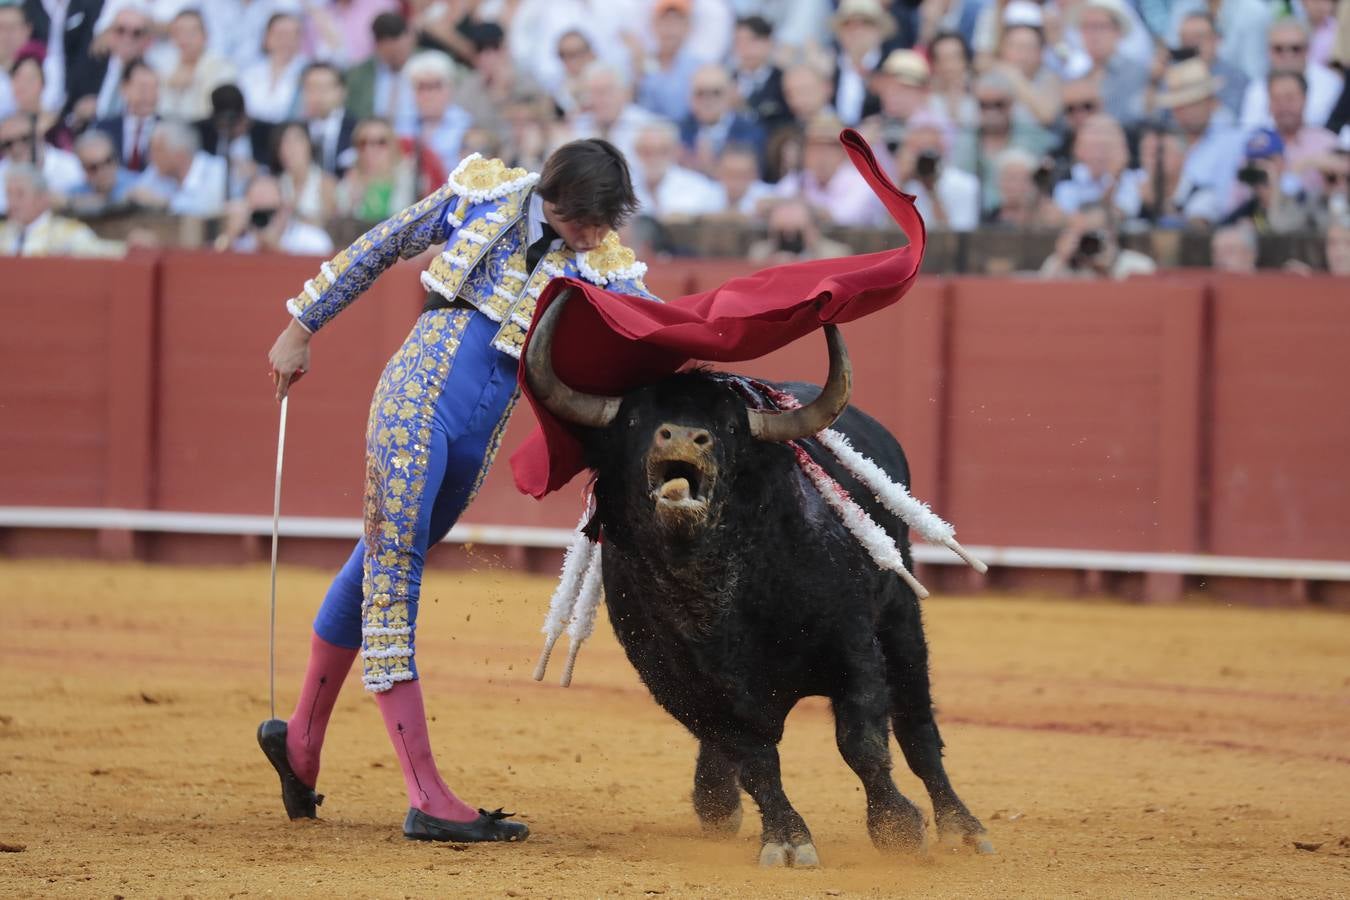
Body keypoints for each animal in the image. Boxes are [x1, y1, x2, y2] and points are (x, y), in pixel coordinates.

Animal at [526, 296, 993, 863]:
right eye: (636, 417)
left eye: (728, 427)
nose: (683, 435)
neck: (717, 593)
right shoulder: (682, 685)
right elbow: (752, 756)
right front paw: (786, 837)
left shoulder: (853, 646)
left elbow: (861, 740)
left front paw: (896, 825)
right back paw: (715, 802)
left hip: (901, 616)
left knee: (917, 726)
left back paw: (962, 826)